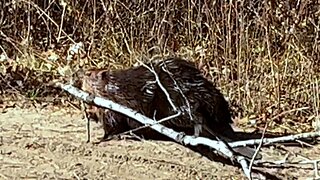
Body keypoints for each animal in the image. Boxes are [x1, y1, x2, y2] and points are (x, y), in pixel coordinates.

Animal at [80, 57, 260, 159]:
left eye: (89, 74)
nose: (80, 73)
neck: (115, 85)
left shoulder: (117, 103)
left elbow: (111, 123)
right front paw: (88, 109)